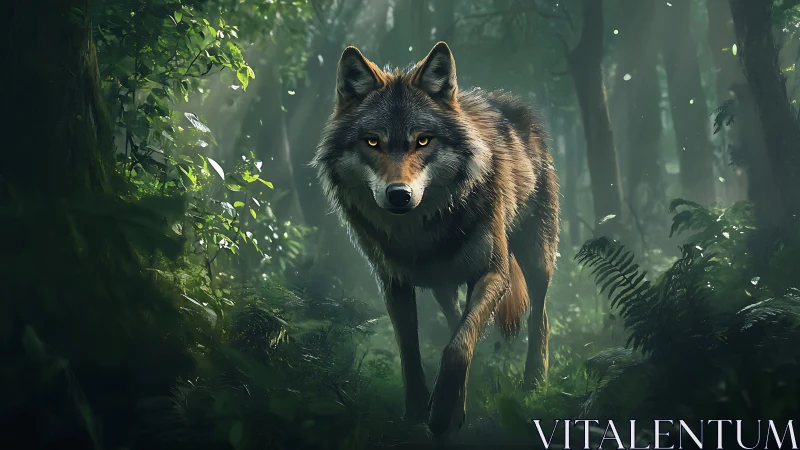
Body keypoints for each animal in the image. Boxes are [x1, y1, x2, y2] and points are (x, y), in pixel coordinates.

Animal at [312, 42, 560, 437]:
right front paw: (416, 411)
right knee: (456, 317)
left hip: (537, 259)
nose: (399, 195)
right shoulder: (393, 283)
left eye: (423, 140)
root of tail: (504, 99)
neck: (421, 233)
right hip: (445, 286)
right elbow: (412, 351)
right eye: (372, 142)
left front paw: (443, 414)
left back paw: (533, 382)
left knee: (540, 317)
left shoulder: (494, 273)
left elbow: (458, 347)